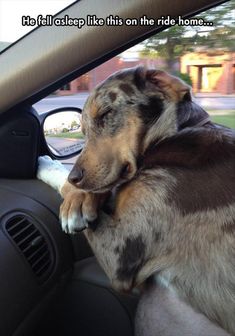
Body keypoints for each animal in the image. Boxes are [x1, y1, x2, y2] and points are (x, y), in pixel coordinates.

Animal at [37, 67, 235, 334]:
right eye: (83, 130)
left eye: (106, 114)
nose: (75, 176)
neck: (173, 135)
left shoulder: (120, 254)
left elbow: (68, 184)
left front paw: (58, 180)